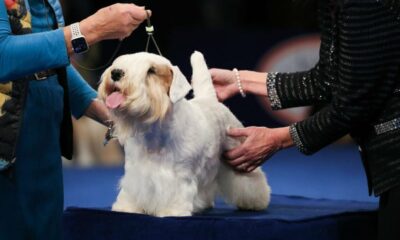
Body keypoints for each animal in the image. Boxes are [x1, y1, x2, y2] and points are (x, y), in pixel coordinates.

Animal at [97, 51, 272, 218]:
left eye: (151, 70)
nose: (116, 73)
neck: (154, 132)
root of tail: (210, 99)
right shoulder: (135, 172)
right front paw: (127, 207)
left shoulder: (180, 175)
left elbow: (175, 193)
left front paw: (172, 211)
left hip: (237, 156)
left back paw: (255, 202)